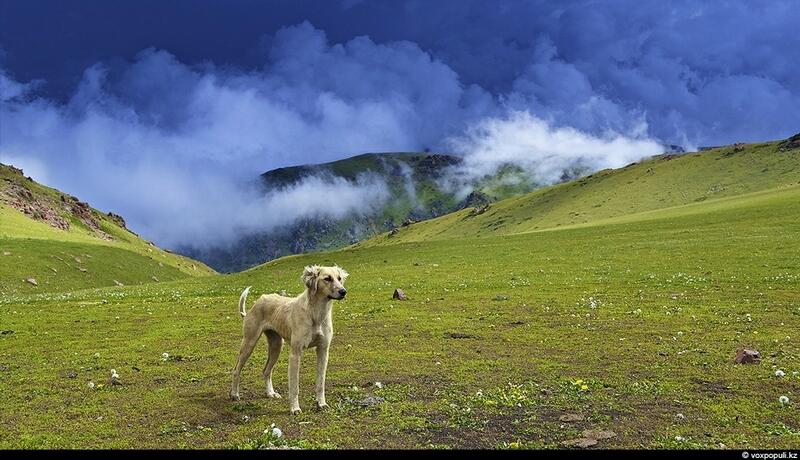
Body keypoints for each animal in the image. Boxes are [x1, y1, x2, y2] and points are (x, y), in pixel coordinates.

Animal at [228, 264, 346, 416]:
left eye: (339, 278)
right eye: (327, 279)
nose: (343, 292)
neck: (316, 313)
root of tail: (257, 302)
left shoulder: (323, 351)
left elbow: (320, 383)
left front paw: (321, 404)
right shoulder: (295, 354)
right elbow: (294, 387)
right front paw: (295, 408)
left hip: (276, 345)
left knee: (266, 371)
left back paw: (270, 393)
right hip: (249, 342)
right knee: (236, 369)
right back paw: (234, 394)